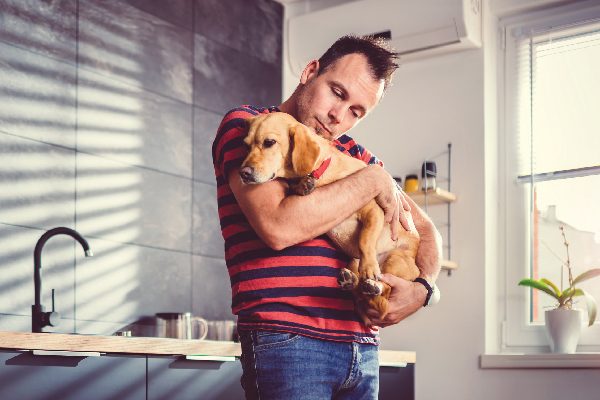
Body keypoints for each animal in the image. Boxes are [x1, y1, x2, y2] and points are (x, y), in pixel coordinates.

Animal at [237, 111, 420, 324]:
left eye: (269, 142)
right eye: (245, 145)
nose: (243, 173)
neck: (322, 171)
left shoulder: (374, 211)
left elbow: (365, 240)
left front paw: (369, 267)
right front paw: (302, 185)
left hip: (395, 260)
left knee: (385, 290)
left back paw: (372, 284)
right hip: (353, 261)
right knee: (361, 292)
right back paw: (352, 281)